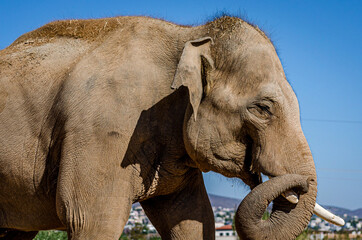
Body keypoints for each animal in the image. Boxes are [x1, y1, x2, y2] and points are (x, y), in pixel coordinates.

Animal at [0, 15, 344, 239]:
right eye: (262, 109)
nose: (300, 184)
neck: (188, 35)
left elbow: (194, 219)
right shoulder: (101, 132)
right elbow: (93, 220)